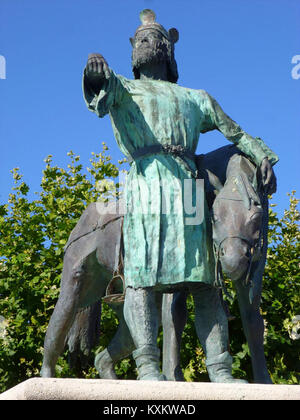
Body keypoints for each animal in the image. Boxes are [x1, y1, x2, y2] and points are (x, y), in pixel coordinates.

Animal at [41, 145, 274, 384]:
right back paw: (47, 376)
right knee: (58, 327)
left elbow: (252, 321)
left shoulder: (251, 271)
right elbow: (174, 318)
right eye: (215, 217)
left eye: (255, 217)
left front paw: (263, 380)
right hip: (76, 286)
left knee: (107, 353)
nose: (232, 261)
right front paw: (174, 376)